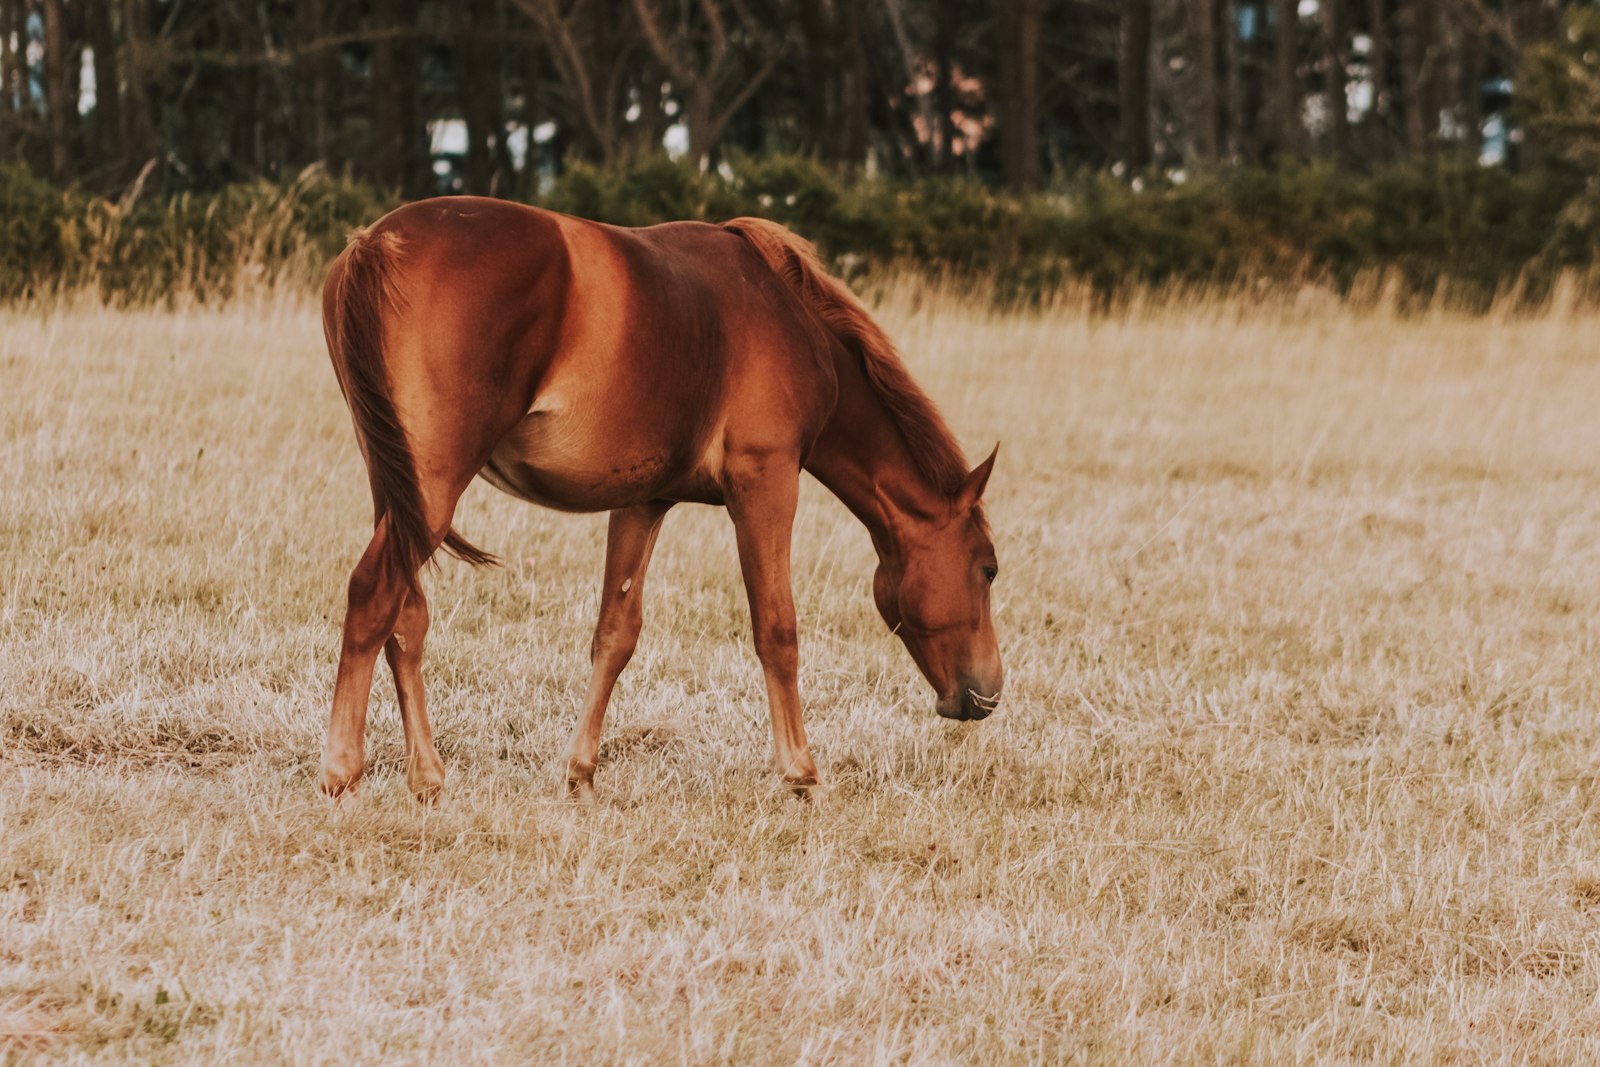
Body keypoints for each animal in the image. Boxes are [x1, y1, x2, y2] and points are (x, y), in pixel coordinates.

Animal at [317, 197, 1002, 803]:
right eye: (988, 569)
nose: (989, 693)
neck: (788, 320)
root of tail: (375, 244)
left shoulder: (642, 502)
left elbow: (615, 634)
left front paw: (582, 775)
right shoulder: (766, 482)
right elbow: (776, 628)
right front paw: (801, 774)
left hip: (401, 495)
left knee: (405, 617)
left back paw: (427, 779)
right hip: (433, 492)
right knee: (373, 594)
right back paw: (342, 772)